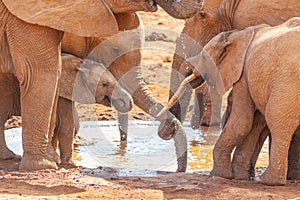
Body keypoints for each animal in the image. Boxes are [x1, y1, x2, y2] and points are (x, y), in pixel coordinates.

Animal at [0, 52, 134, 166]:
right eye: (104, 84)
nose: (121, 145)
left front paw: (56, 157)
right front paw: (72, 164)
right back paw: (10, 156)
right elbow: (67, 123)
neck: (79, 63)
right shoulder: (60, 92)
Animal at [163, 17, 300, 184]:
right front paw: (241, 177)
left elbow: (243, 122)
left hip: (287, 82)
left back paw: (269, 180)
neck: (238, 34)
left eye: (204, 57)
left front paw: (220, 175)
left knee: (277, 121)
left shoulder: (243, 73)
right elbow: (256, 122)